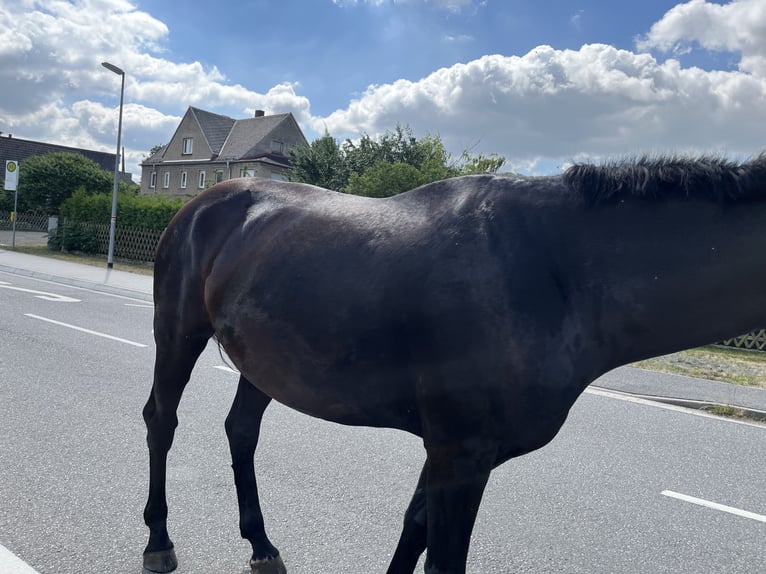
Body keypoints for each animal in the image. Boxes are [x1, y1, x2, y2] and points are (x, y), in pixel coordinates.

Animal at [142, 154, 766, 574]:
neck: (557, 271)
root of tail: (204, 201)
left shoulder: (455, 453)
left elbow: (414, 531)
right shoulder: (460, 454)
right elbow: (442, 559)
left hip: (266, 361)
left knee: (241, 430)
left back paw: (262, 545)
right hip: (178, 333)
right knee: (161, 421)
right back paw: (158, 541)